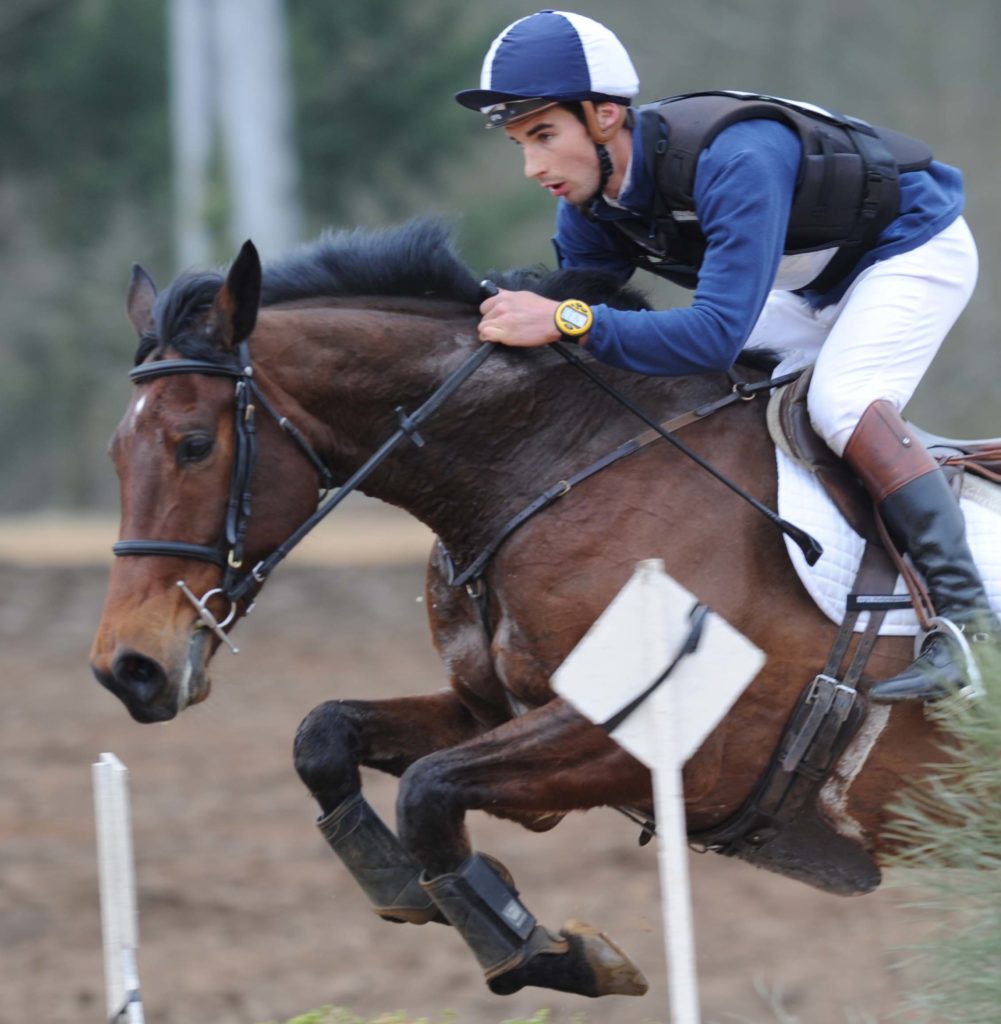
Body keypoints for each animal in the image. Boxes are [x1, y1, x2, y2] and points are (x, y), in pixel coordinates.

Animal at [89, 222, 941, 999]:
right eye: (115, 455)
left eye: (193, 445)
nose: (127, 668)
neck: (553, 463)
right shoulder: (490, 705)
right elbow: (325, 738)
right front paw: (413, 890)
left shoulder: (669, 746)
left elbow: (427, 791)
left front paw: (549, 953)